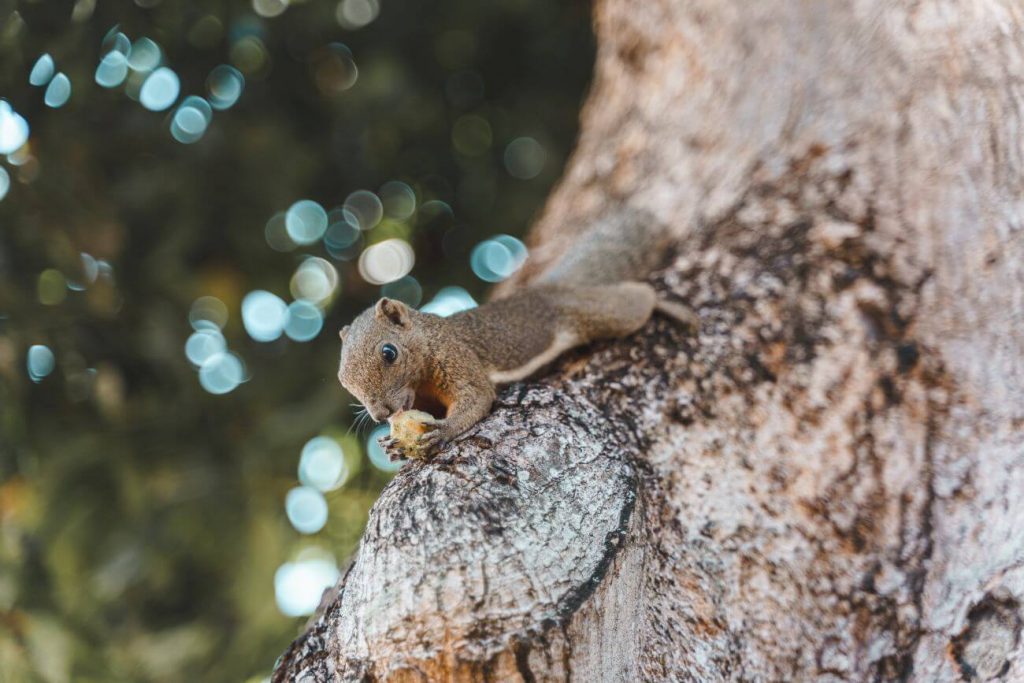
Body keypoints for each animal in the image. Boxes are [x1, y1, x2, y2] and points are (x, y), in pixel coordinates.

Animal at [335, 205, 696, 456]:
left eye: (389, 352)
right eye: (344, 381)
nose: (380, 414)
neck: (428, 339)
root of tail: (548, 288)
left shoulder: (456, 355)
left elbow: (476, 396)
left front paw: (444, 429)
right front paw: (390, 444)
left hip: (594, 313)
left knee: (636, 300)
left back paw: (670, 307)